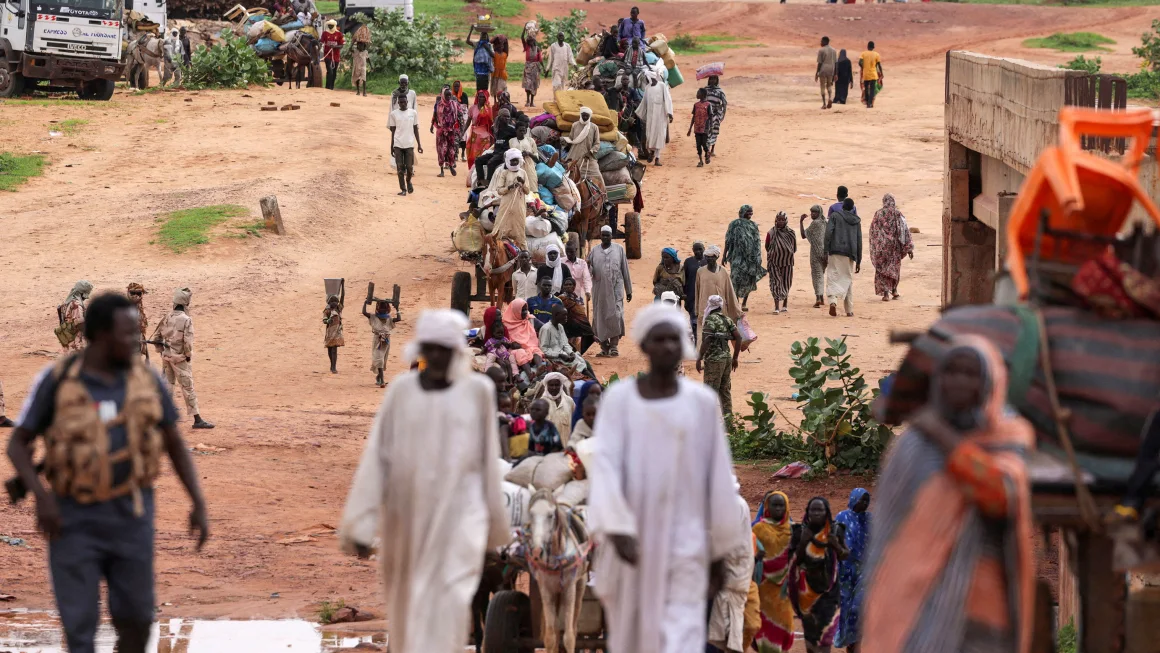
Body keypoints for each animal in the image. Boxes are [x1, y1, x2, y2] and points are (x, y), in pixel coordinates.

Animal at [531, 487, 593, 653]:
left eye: (551, 515)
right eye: (531, 514)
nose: (536, 552)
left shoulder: (569, 590)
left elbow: (569, 637)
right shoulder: (546, 591)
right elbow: (550, 638)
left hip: (580, 586)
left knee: (573, 628)